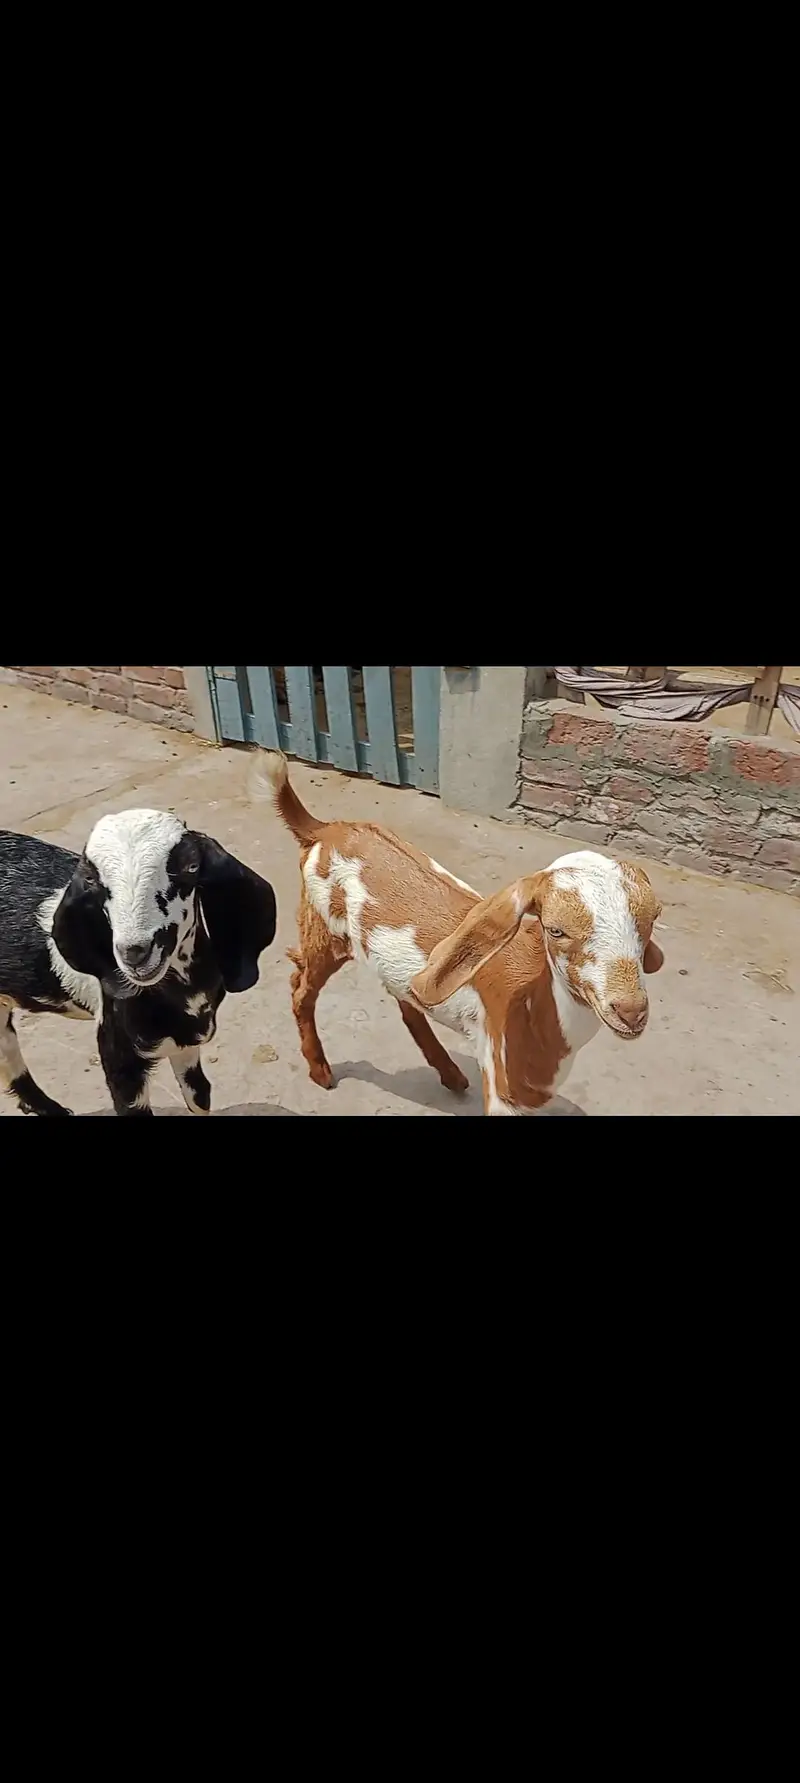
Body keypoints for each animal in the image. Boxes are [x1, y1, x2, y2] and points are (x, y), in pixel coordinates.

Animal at [0, 812, 276, 1116]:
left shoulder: (186, 1043)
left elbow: (199, 1093)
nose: (134, 952)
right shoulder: (119, 1056)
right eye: (92, 880)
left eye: (191, 867)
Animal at [260, 752, 664, 1115]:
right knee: (302, 988)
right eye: (556, 930)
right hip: (323, 927)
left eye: (653, 917)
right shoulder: (504, 1082)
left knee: (404, 1000)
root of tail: (323, 829)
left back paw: (450, 1074)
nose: (631, 1011)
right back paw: (320, 1070)